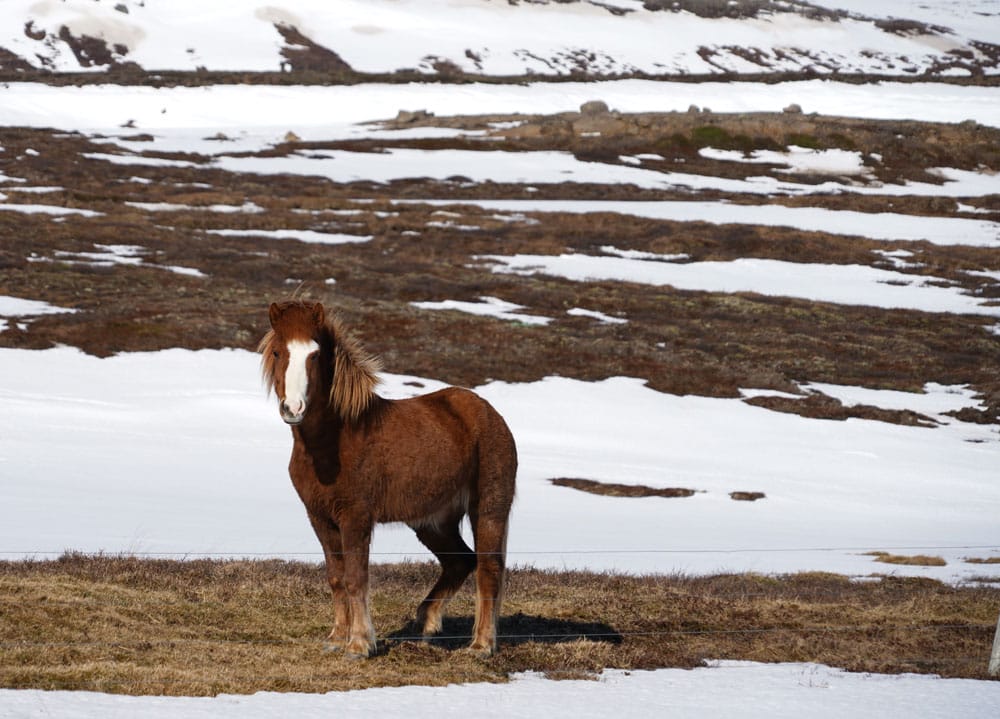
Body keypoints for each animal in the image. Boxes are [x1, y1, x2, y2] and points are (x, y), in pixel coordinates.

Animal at [258, 300, 520, 660]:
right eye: (277, 352)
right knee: (459, 561)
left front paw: (359, 644)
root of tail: (491, 414)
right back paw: (427, 622)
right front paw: (337, 638)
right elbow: (336, 577)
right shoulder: (320, 517)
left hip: (488, 510)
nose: (293, 408)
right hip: (433, 522)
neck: (333, 442)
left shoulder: (355, 517)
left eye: (315, 354)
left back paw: (480, 645)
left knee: (488, 570)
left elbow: (356, 578)